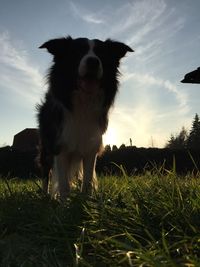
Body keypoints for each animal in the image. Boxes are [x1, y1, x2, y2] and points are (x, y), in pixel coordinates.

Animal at [36, 35, 134, 199]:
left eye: (101, 54)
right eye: (77, 52)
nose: (93, 62)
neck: (83, 102)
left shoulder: (90, 148)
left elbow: (87, 182)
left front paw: (85, 201)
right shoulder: (60, 146)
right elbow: (64, 185)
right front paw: (63, 204)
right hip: (47, 146)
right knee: (46, 172)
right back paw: (45, 195)